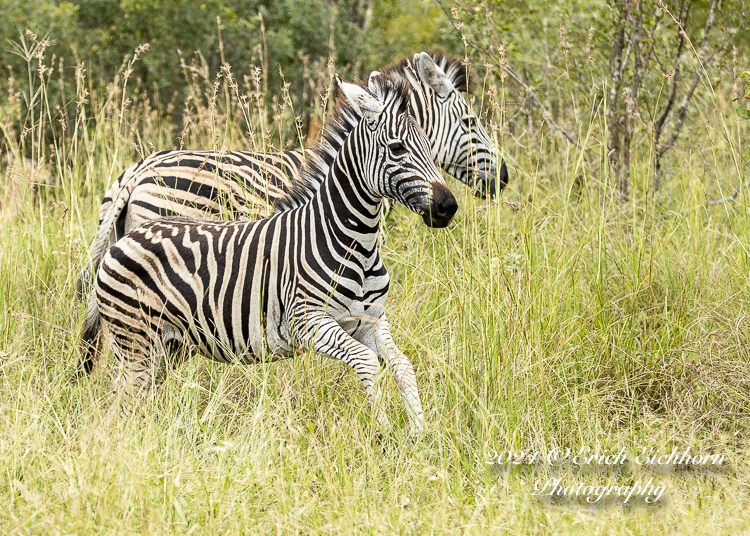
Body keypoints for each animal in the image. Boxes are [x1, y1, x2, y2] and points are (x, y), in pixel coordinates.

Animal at [81, 74, 458, 436]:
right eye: (397, 148)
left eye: (430, 146)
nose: (447, 208)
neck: (356, 245)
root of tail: (124, 237)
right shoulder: (309, 322)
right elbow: (367, 363)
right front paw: (382, 432)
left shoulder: (370, 321)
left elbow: (402, 366)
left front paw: (419, 434)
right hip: (136, 345)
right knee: (116, 405)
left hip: (165, 348)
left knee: (129, 404)